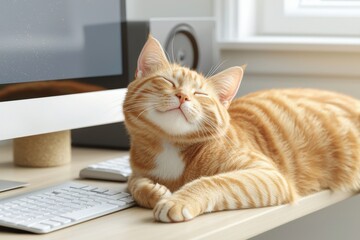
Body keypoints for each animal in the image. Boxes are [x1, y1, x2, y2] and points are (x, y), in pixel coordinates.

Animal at [124, 35, 360, 223]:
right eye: (168, 81)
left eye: (200, 94)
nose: (183, 96)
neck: (171, 146)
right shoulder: (136, 171)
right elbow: (133, 184)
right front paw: (155, 191)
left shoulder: (267, 174)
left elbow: (213, 182)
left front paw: (177, 200)